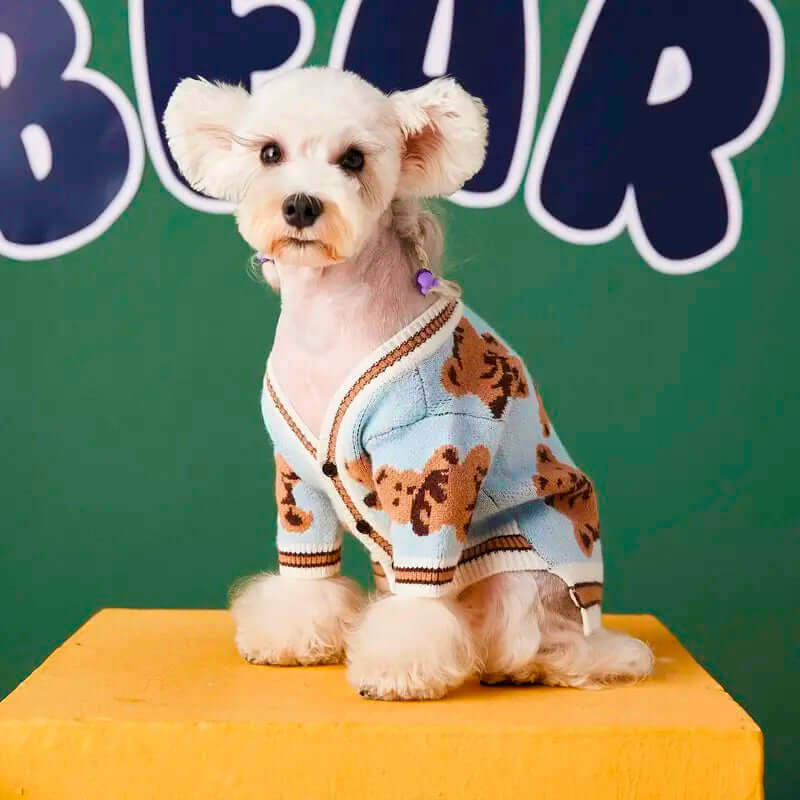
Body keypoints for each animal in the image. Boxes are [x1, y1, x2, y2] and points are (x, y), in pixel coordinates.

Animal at [162, 65, 648, 696]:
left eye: (353, 159)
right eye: (269, 152)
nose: (301, 204)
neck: (329, 319)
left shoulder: (433, 454)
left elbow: (421, 595)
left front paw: (401, 666)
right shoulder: (296, 475)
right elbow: (306, 567)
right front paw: (293, 634)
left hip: (524, 573)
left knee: (550, 642)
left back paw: (529, 662)